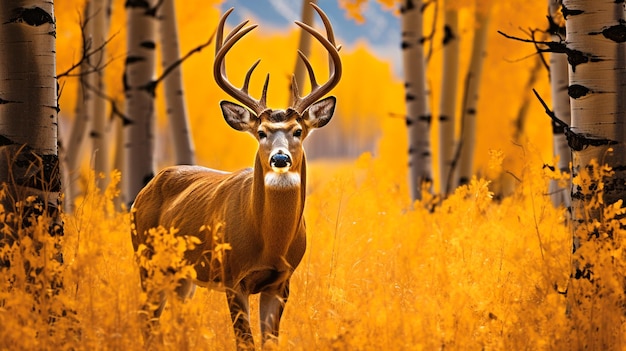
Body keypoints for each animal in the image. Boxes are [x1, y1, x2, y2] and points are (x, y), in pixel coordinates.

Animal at [129, 2, 338, 350]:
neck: (269, 243)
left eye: (298, 131)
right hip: (147, 258)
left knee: (175, 319)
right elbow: (245, 342)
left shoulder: (281, 282)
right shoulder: (231, 277)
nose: (280, 158)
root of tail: (146, 188)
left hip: (183, 276)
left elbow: (270, 342)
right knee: (148, 318)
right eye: (261, 132)